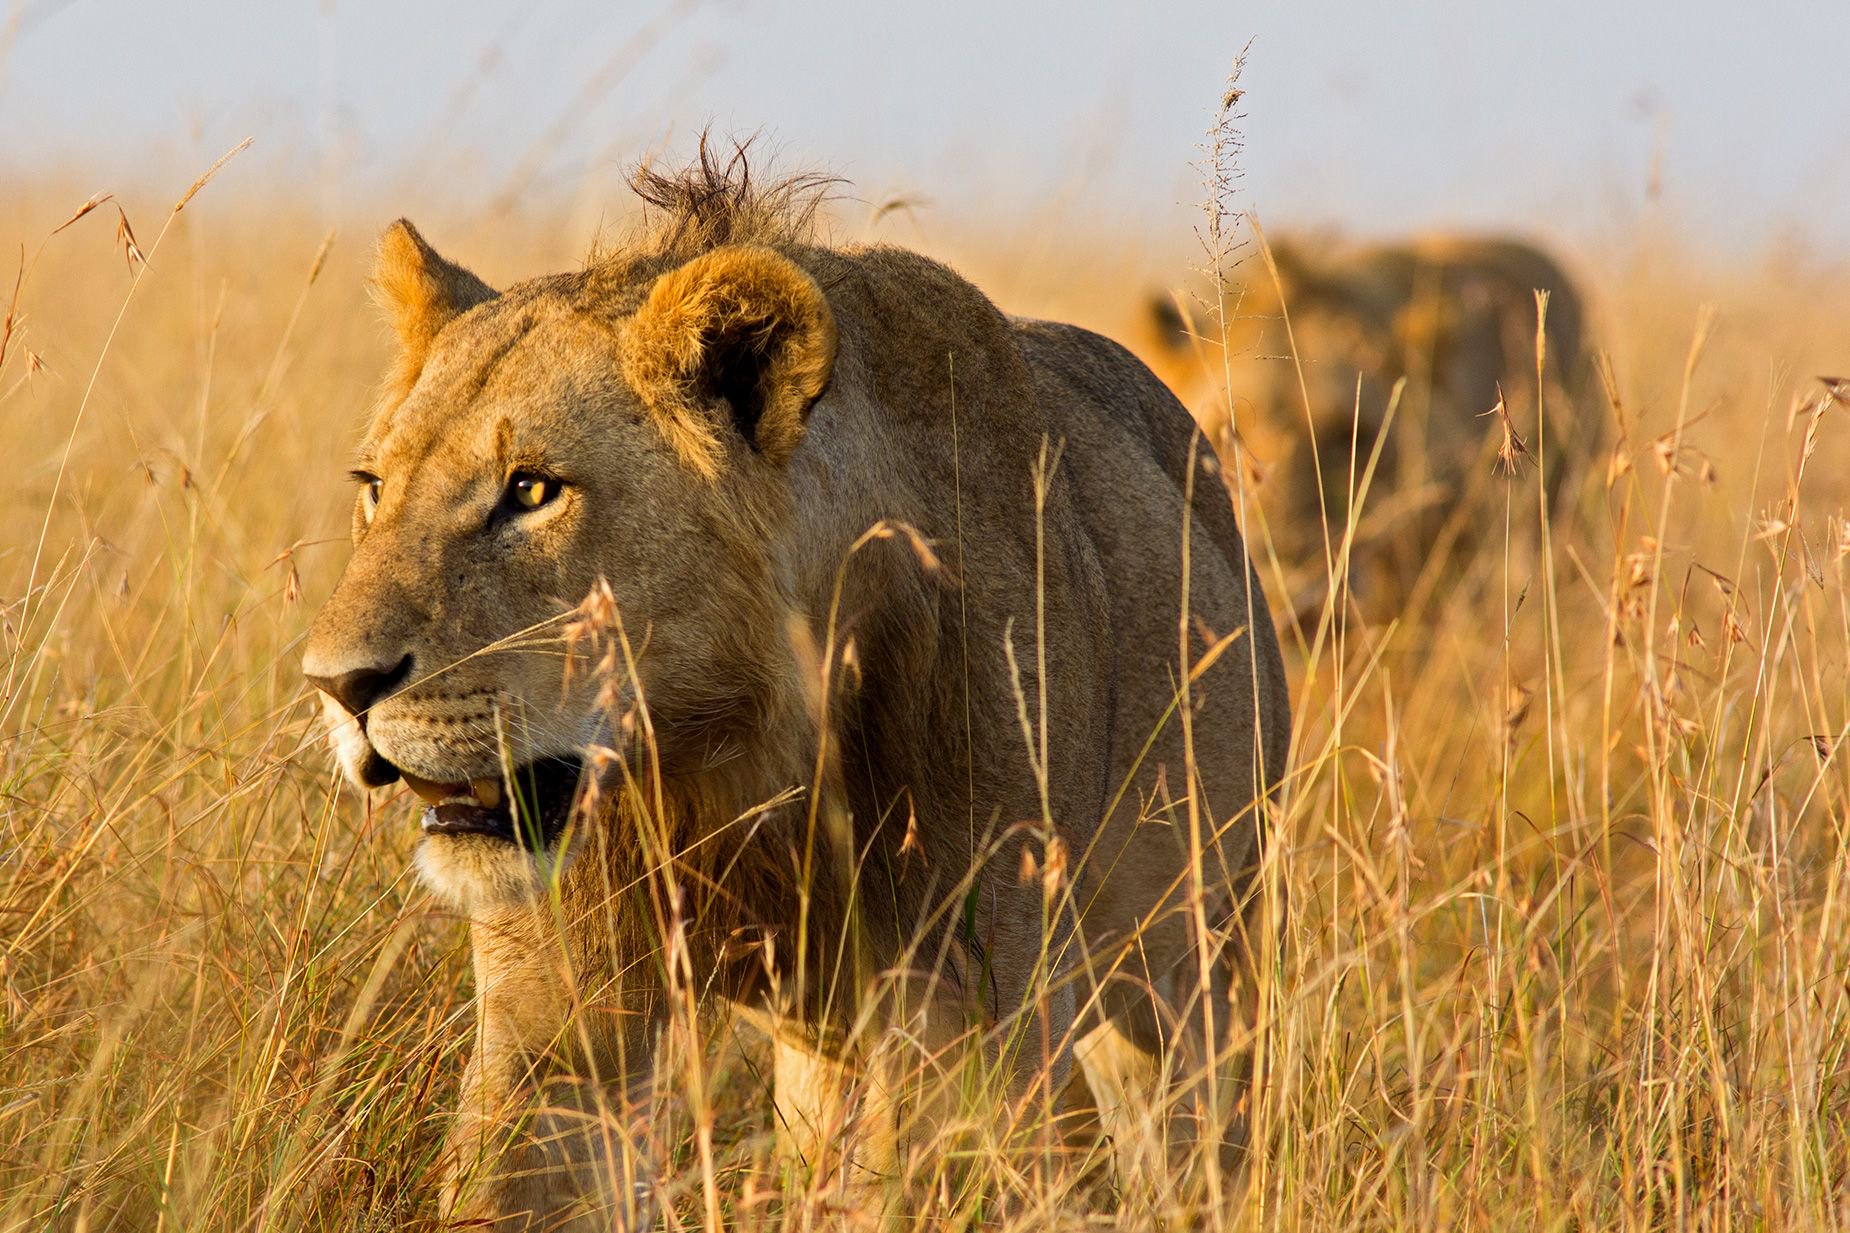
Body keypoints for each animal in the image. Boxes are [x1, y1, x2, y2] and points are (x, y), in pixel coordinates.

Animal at [302, 146, 1291, 1229]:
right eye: (373, 488)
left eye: (531, 489)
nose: (338, 686)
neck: (723, 756)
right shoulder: (557, 1015)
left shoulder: (977, 1017)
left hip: (1195, 963)